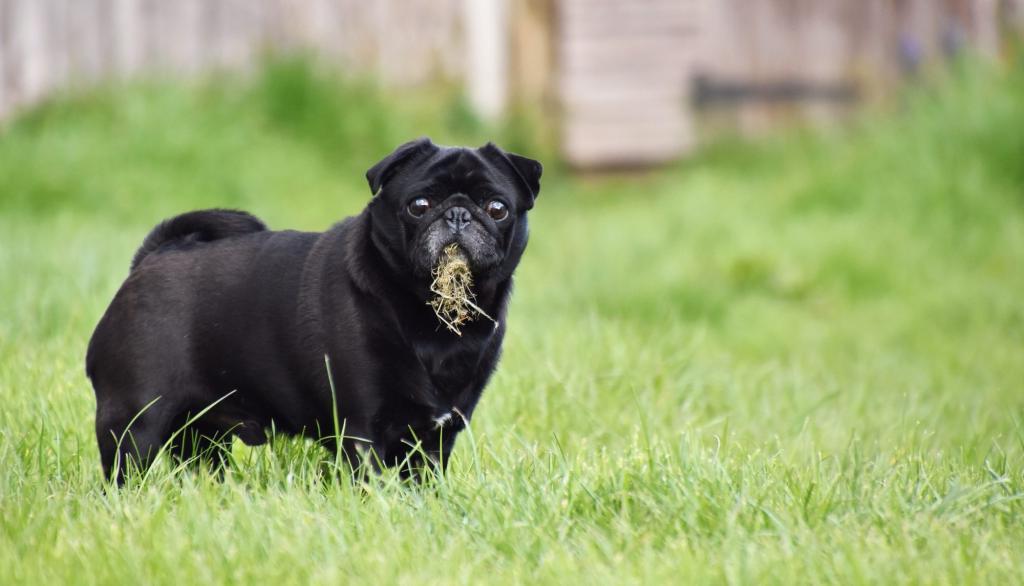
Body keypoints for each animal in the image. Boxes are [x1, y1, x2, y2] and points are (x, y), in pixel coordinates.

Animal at [86, 139, 544, 483]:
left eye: (498, 208)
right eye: (419, 204)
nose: (458, 213)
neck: (430, 318)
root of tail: (151, 258)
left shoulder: (433, 440)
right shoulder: (363, 430)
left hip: (202, 434)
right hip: (135, 421)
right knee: (125, 472)